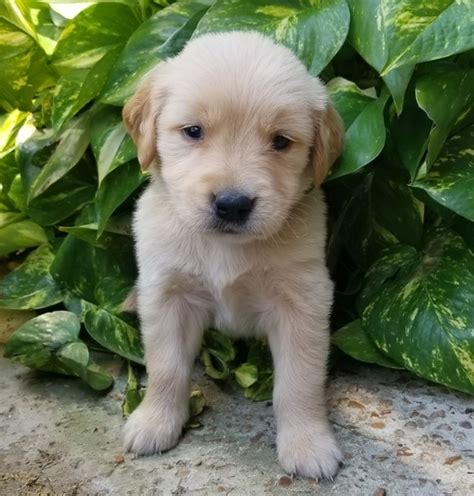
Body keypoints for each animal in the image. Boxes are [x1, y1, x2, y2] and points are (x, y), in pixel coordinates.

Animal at [121, 32, 344, 480]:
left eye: (281, 141)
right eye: (193, 131)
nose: (232, 204)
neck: (223, 248)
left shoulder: (303, 301)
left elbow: (300, 380)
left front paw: (308, 443)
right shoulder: (168, 295)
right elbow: (166, 367)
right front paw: (154, 422)